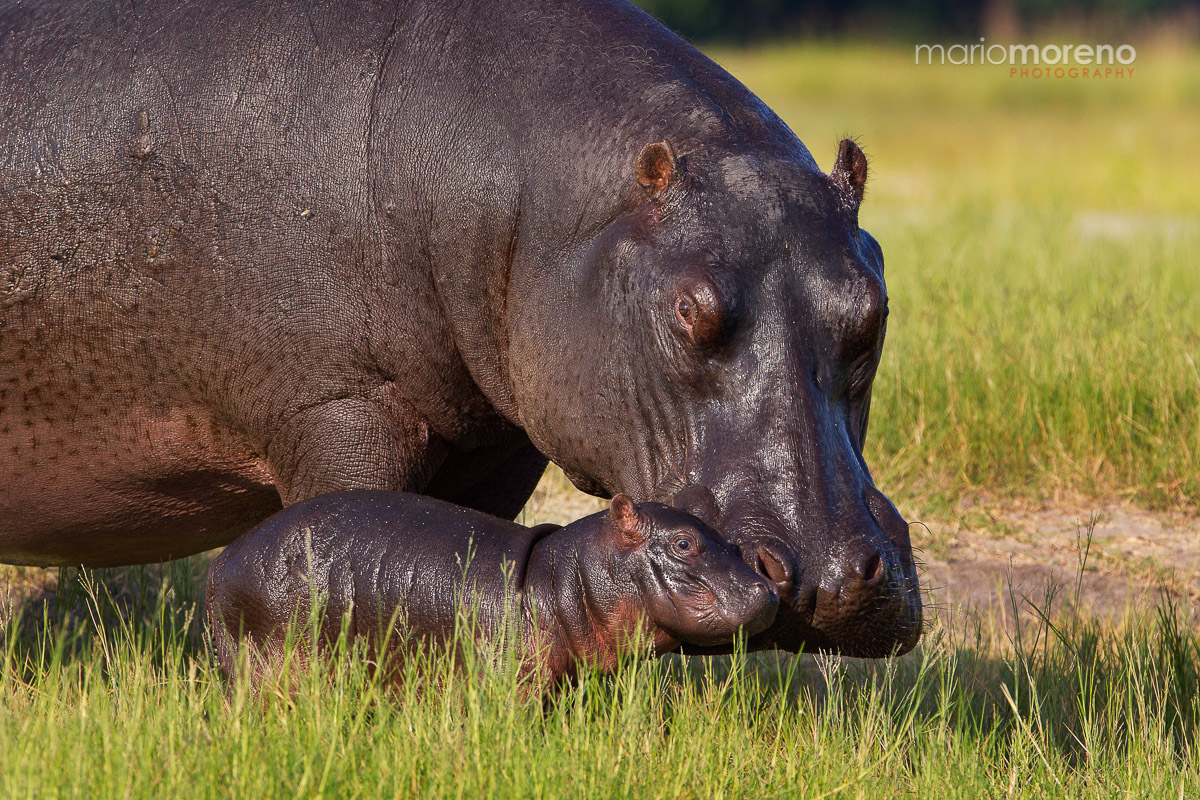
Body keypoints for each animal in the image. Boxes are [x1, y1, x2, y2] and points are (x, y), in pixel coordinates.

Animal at [207, 491, 778, 687]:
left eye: (729, 540)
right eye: (683, 543)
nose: (769, 592)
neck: (560, 577)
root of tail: (219, 565)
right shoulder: (513, 679)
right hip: (262, 661)